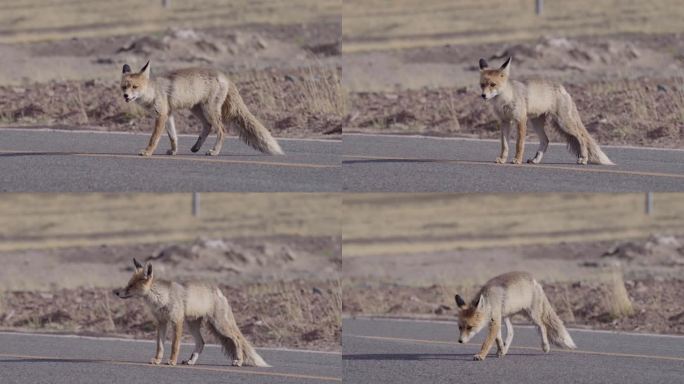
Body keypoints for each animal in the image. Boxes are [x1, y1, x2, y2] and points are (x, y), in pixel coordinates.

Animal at [113, 260, 270, 368]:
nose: (117, 293)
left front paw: (172, 361)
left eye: (131, 286)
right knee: (201, 342)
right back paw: (191, 361)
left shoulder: (177, 321)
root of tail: (219, 291)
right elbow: (160, 346)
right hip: (193, 325)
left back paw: (238, 361)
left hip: (219, 325)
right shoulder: (162, 322)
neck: (161, 298)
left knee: (237, 339)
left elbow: (174, 345)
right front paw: (157, 360)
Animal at [120, 60, 284, 157]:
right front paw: (173, 151)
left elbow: (154, 138)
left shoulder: (161, 115)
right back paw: (196, 147)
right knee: (208, 126)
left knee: (222, 130)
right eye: (124, 87)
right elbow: (173, 137)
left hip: (208, 110)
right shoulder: (169, 114)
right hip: (197, 110)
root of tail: (225, 76)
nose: (126, 96)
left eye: (135, 87)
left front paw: (147, 152)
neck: (153, 92)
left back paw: (214, 151)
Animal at [476, 57, 616, 166]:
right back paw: (536, 160)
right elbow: (504, 145)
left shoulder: (521, 120)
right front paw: (502, 159)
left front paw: (517, 160)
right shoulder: (505, 122)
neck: (505, 99)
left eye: (493, 85)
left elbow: (519, 144)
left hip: (563, 123)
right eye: (482, 85)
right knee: (546, 140)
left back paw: (583, 158)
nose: (483, 96)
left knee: (581, 137)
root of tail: (562, 88)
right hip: (536, 123)